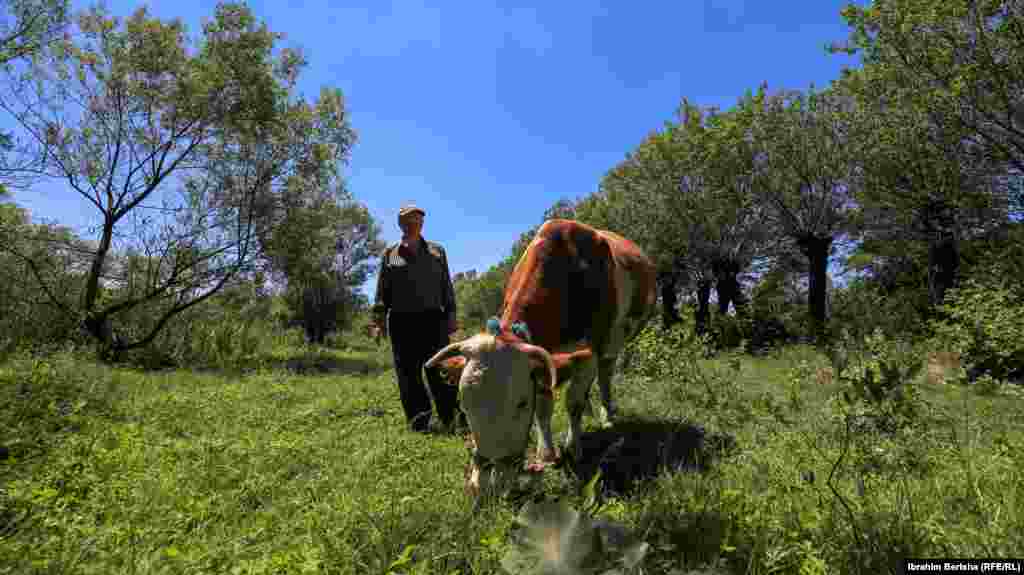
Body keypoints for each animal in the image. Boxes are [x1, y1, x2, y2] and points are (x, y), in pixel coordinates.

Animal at [423, 217, 655, 493]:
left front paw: (573, 447)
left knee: (605, 374)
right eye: (463, 403)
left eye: (522, 403)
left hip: (613, 343)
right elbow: (544, 406)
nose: (489, 482)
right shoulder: (544, 364)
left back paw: (607, 415)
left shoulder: (589, 352)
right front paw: (546, 453)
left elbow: (573, 403)